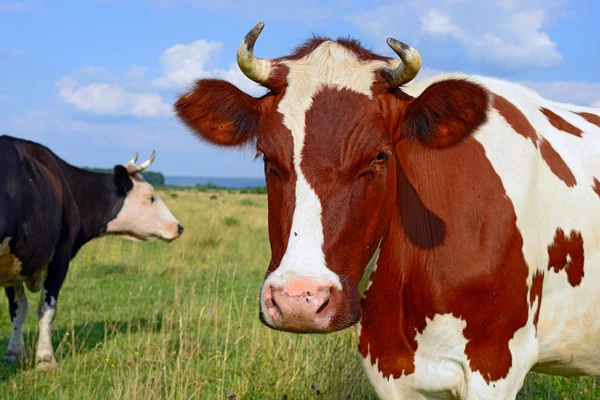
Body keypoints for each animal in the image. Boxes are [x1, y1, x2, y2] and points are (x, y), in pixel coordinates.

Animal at [0, 135, 183, 368]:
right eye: (150, 197)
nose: (178, 227)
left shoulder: (15, 262)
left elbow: (18, 309)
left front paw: (13, 353)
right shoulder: (59, 258)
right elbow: (46, 308)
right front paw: (46, 359)